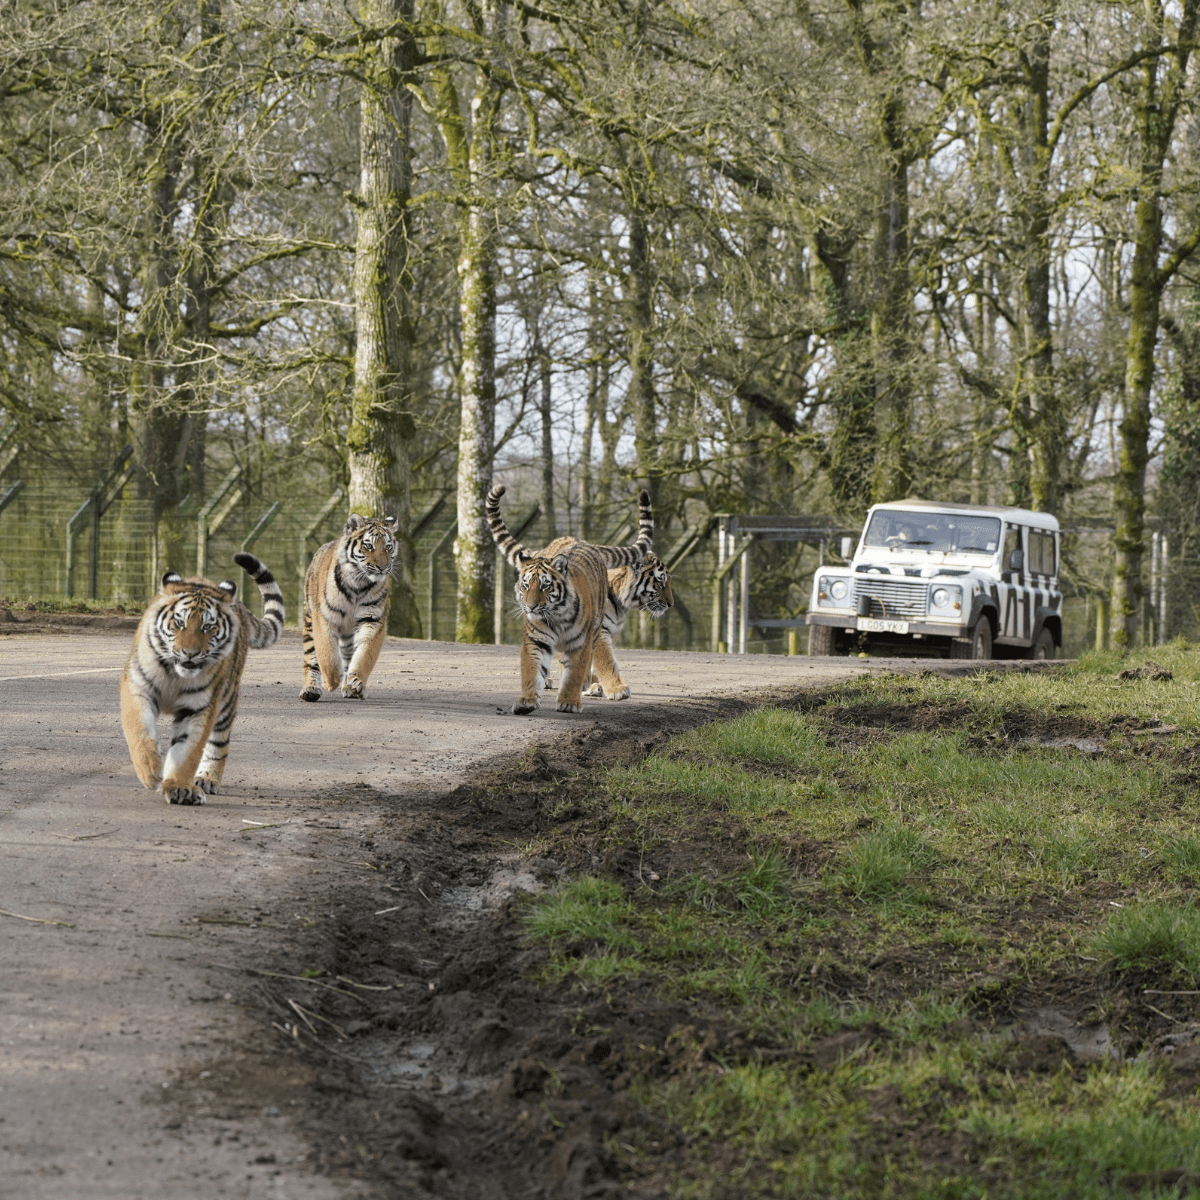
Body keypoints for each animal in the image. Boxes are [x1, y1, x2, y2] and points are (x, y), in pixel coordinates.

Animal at [119, 551, 285, 805]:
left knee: (219, 744)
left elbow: (188, 750)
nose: (190, 653)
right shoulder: (137, 687)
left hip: (227, 702)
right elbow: (138, 729)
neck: (175, 674)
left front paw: (179, 786)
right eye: (179, 623)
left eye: (208, 627)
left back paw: (207, 778)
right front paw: (150, 770)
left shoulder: (200, 706)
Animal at [300, 513, 397, 702]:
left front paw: (356, 682)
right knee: (311, 659)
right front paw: (331, 681)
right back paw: (311, 689)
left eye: (388, 548)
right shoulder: (324, 618)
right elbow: (327, 653)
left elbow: (365, 654)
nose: (383, 568)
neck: (358, 585)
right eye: (369, 546)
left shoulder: (372, 620)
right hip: (309, 620)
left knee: (348, 655)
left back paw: (349, 687)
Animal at [487, 484, 651, 714]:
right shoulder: (536, 640)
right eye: (525, 585)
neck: (556, 616)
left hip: (595, 630)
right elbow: (531, 670)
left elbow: (575, 673)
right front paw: (527, 700)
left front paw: (569, 702)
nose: (530, 606)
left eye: (545, 586)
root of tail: (585, 542)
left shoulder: (581, 642)